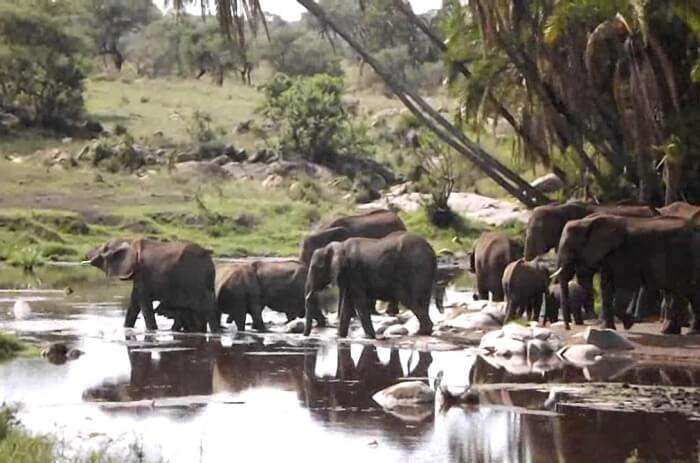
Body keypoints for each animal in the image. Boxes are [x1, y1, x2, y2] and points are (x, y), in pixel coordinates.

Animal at [83, 239, 219, 334]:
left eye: (105, 248)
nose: (86, 255)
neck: (129, 243)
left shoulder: (143, 274)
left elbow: (143, 304)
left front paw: (152, 330)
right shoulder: (139, 277)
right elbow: (134, 304)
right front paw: (126, 328)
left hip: (194, 280)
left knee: (207, 308)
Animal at [304, 234, 434, 338]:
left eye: (317, 268)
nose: (305, 336)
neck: (338, 246)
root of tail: (431, 249)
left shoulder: (354, 272)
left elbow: (360, 303)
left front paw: (369, 337)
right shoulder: (348, 276)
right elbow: (347, 305)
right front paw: (340, 337)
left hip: (417, 268)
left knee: (408, 299)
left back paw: (421, 332)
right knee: (421, 300)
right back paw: (423, 331)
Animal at [552, 215, 700, 334]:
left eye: (569, 247)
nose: (568, 328)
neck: (587, 221)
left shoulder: (624, 254)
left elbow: (623, 287)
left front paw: (629, 323)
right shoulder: (608, 256)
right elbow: (605, 287)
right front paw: (608, 329)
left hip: (688, 258)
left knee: (686, 293)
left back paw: (688, 333)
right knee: (680, 293)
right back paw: (672, 332)